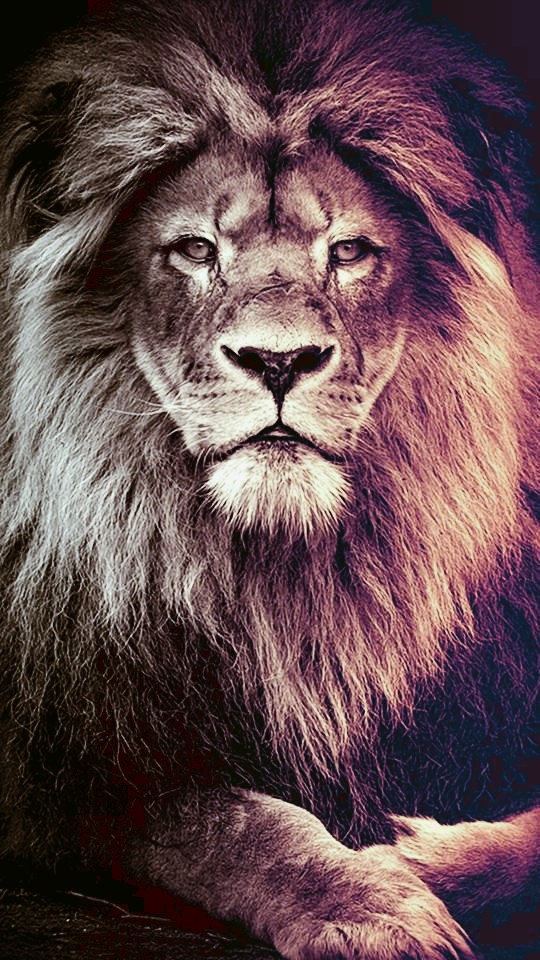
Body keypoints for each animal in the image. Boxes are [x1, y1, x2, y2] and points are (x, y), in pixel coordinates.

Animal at [0, 0, 538, 957]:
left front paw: (421, 860)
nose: (278, 359)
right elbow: (232, 822)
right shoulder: (77, 771)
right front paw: (367, 901)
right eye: (194, 249)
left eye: (351, 251)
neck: (284, 580)